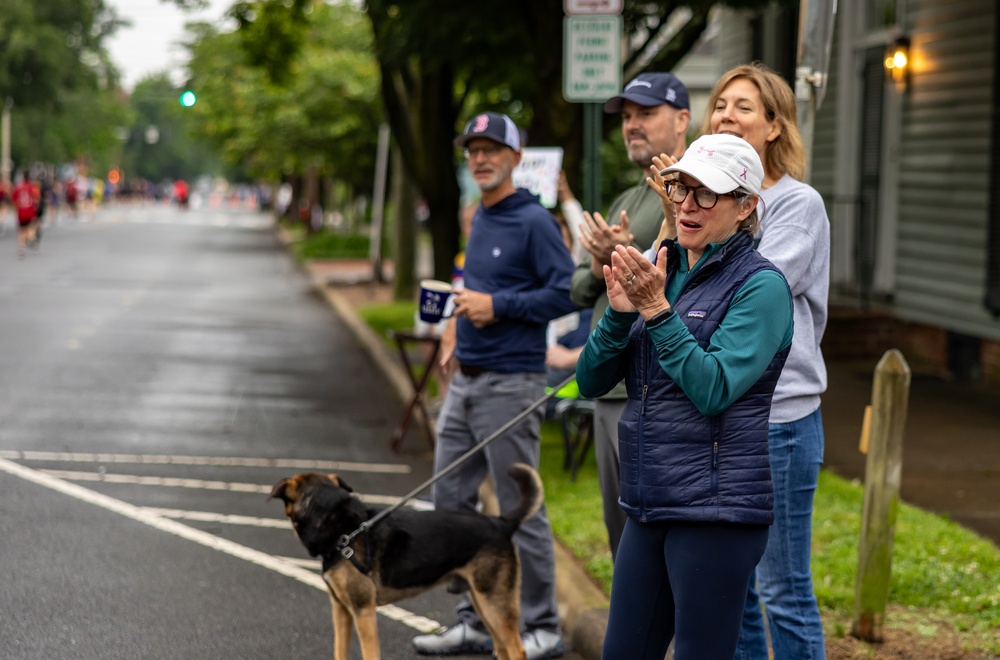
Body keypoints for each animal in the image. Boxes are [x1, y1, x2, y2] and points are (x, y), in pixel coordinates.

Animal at [270, 462, 544, 660]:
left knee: (517, 650)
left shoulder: (363, 612)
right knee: (504, 648)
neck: (344, 531)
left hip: (495, 605)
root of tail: (502, 522)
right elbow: (340, 651)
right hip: (484, 603)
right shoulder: (341, 611)